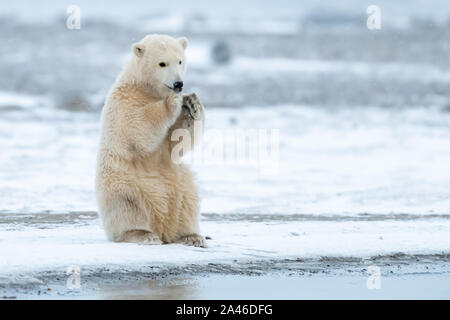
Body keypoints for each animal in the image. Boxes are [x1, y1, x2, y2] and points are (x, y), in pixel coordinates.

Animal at [97, 34, 207, 248]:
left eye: (180, 61)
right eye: (162, 63)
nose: (178, 84)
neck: (145, 87)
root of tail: (162, 226)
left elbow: (176, 142)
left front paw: (192, 104)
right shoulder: (124, 101)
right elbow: (136, 129)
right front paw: (171, 103)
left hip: (179, 182)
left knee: (188, 202)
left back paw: (191, 236)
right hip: (122, 182)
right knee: (127, 205)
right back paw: (143, 234)